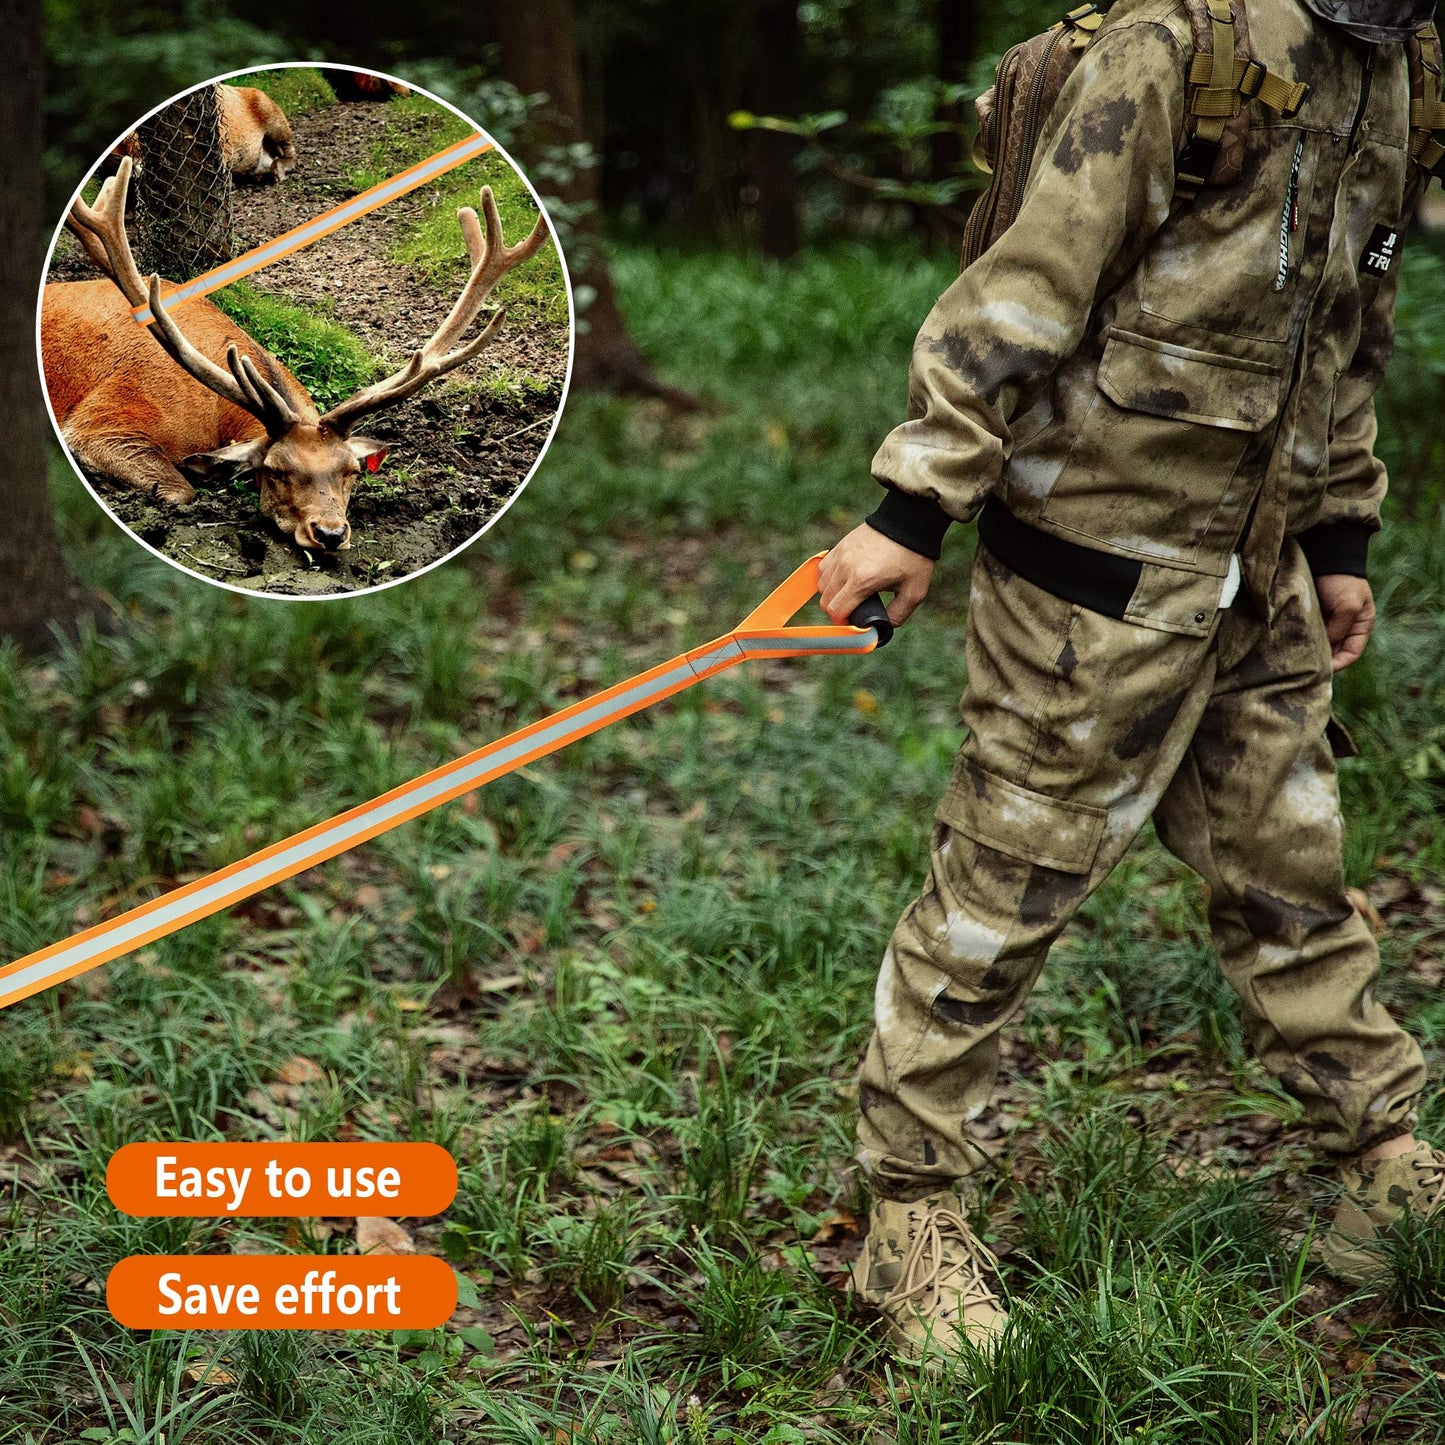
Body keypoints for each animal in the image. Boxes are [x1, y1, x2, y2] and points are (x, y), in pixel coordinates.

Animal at [42, 156, 549, 554]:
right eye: (275, 471)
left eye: (351, 472)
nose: (330, 533)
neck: (213, 414)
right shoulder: (102, 420)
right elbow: (179, 490)